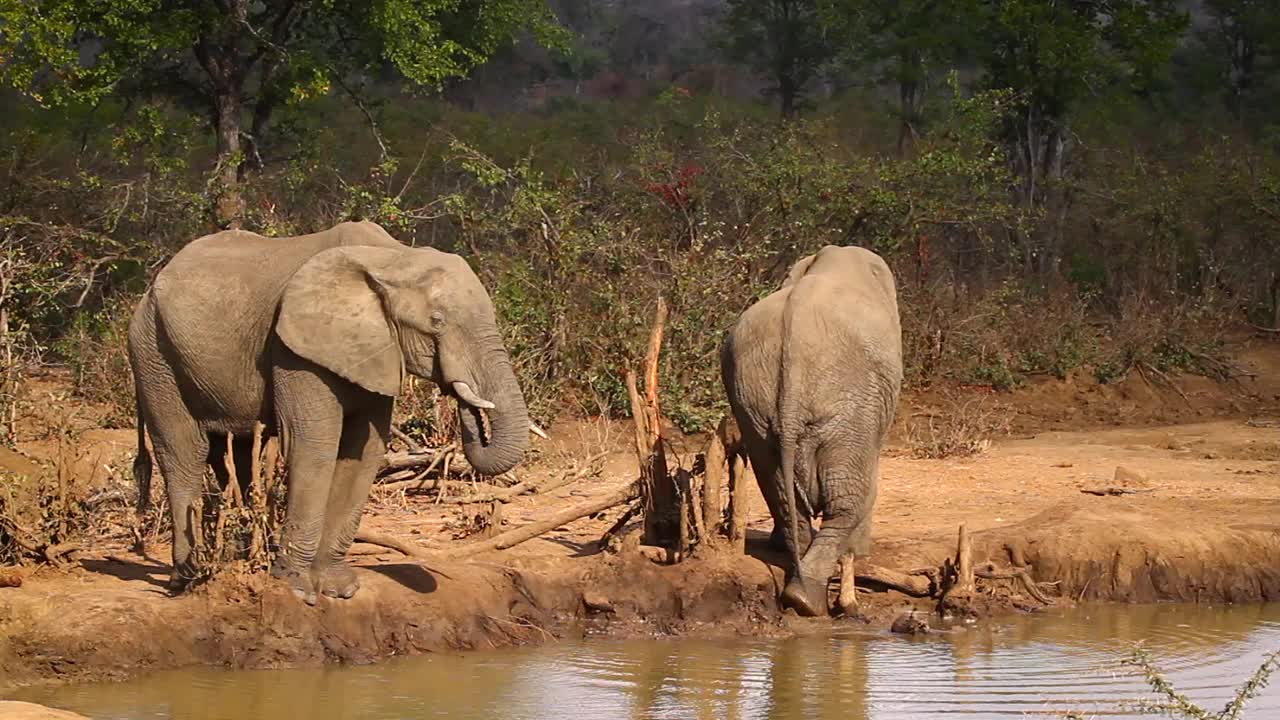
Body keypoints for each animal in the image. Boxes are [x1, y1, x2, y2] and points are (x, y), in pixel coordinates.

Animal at [124, 219, 535, 599]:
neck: (393, 257)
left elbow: (363, 453)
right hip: (153, 353)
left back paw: (240, 555)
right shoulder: (296, 349)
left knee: (235, 454)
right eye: (436, 322)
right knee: (183, 453)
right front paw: (298, 589)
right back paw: (188, 577)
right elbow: (314, 447)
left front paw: (338, 588)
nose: (464, 398)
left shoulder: (375, 350)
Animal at [721, 243, 901, 614]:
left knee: (778, 488)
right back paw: (809, 601)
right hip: (851, 404)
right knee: (847, 498)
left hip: (752, 401)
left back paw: (798, 590)